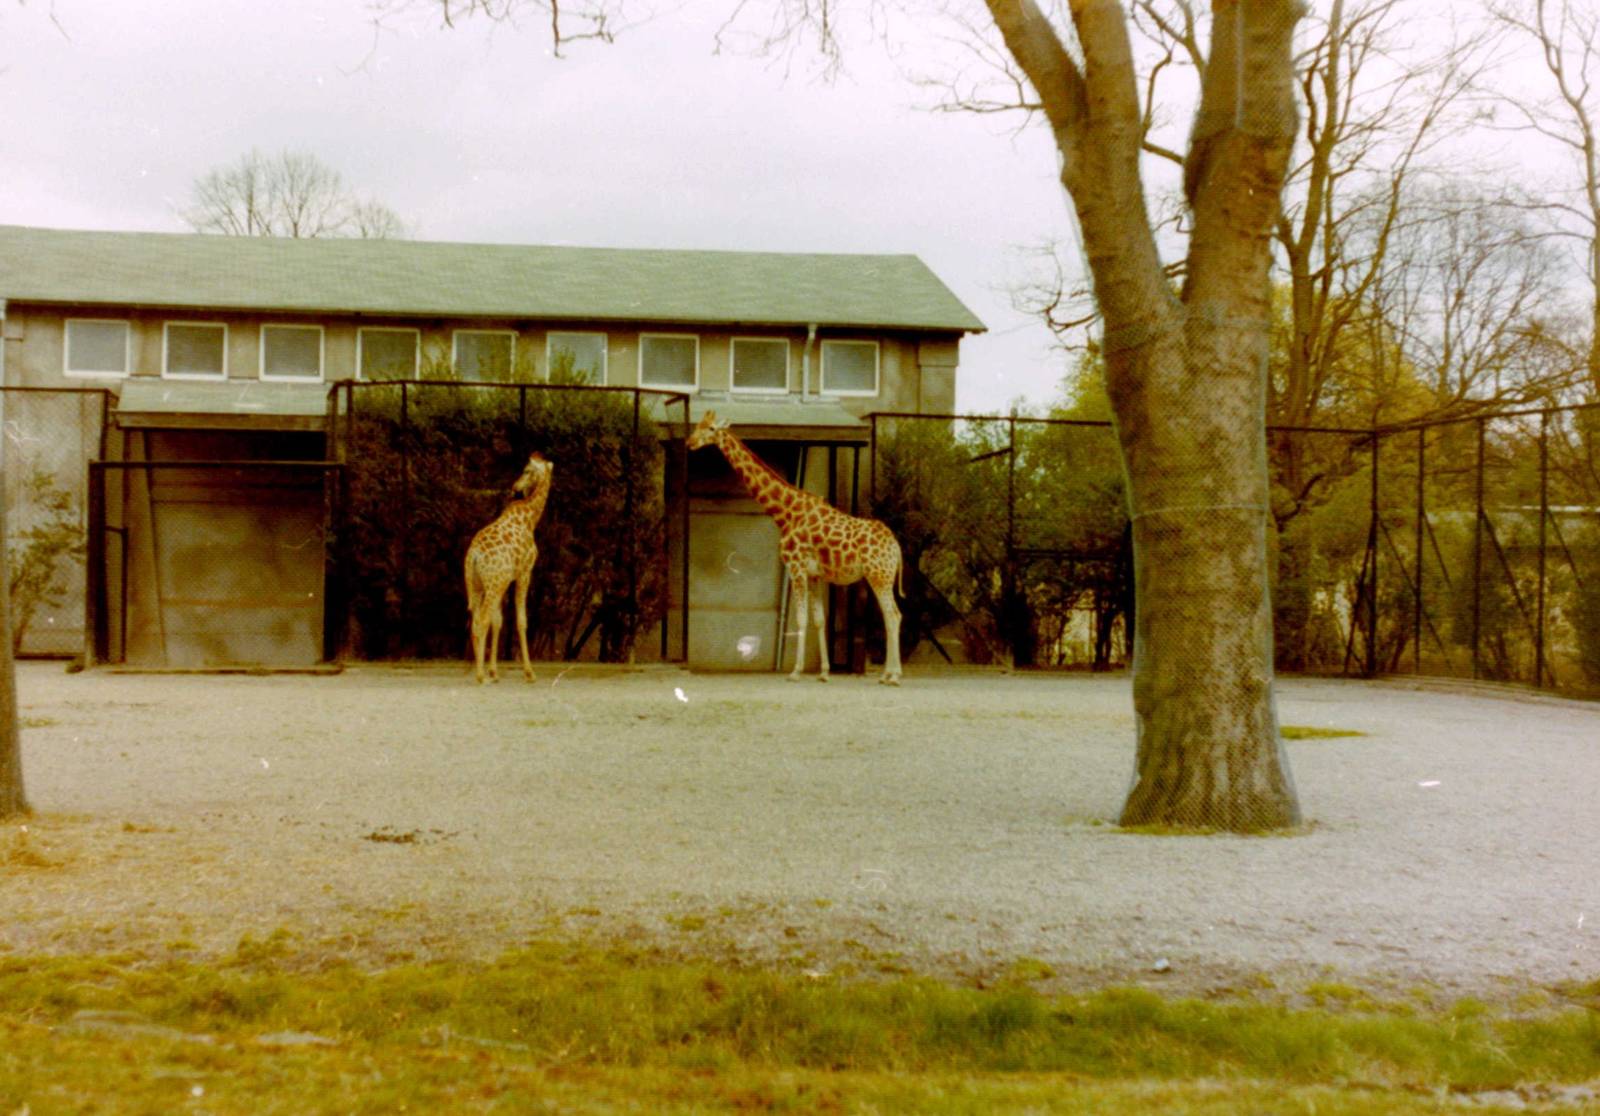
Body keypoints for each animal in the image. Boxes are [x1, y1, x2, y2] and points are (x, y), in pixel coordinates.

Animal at [464, 452, 554, 684]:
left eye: (525, 470)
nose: (516, 487)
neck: (531, 518)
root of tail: (474, 555)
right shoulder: (524, 572)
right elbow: (521, 621)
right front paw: (530, 673)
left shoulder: (506, 580)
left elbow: (499, 622)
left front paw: (495, 671)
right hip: (492, 584)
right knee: (481, 621)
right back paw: (480, 676)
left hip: (478, 585)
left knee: (476, 621)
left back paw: (481, 672)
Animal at [687, 411, 904, 684]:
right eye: (697, 425)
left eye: (711, 429)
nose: (690, 442)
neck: (786, 513)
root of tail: (896, 547)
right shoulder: (815, 575)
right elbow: (819, 620)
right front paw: (824, 672)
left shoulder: (796, 567)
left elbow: (801, 620)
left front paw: (796, 671)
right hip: (881, 577)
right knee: (892, 616)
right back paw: (887, 673)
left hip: (879, 576)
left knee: (893, 616)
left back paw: (893, 676)